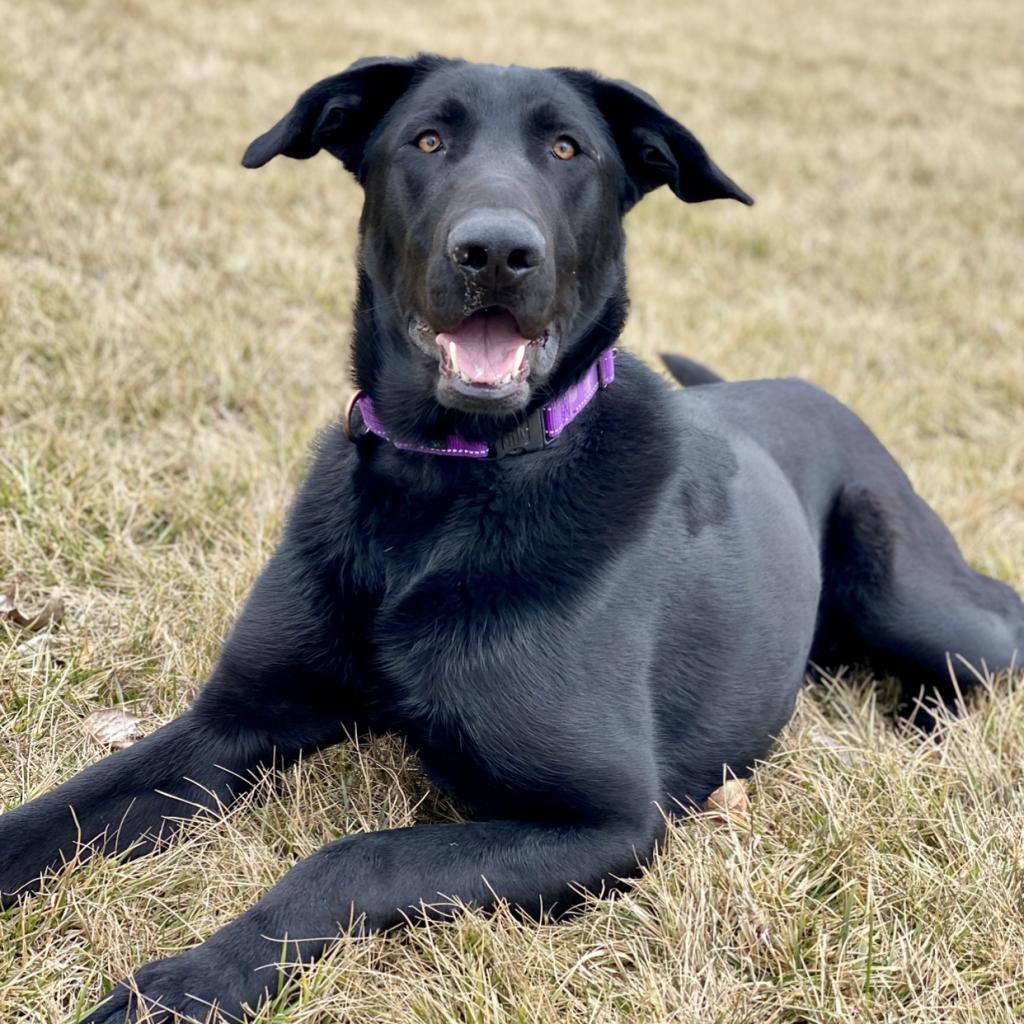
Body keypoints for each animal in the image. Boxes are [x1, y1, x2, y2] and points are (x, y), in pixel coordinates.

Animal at [2, 56, 1024, 1024]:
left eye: (568, 150)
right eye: (426, 140)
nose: (496, 251)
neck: (444, 487)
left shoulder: (608, 822)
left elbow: (352, 859)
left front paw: (187, 984)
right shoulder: (231, 724)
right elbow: (67, 807)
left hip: (909, 597)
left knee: (996, 625)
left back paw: (926, 720)